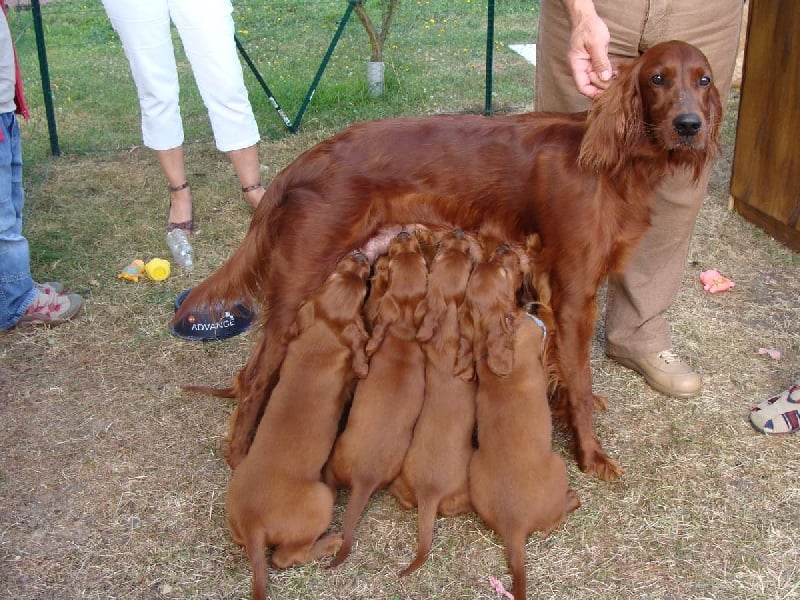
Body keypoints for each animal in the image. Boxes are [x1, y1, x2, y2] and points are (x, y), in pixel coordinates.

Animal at [177, 38, 724, 478]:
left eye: (704, 79)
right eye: (657, 78)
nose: (689, 125)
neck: (613, 164)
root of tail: (303, 162)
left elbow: (559, 366)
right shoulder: (575, 294)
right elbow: (580, 376)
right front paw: (591, 454)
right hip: (299, 279)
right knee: (253, 375)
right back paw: (241, 454)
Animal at [225, 252, 372, 600]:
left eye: (336, 275)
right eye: (362, 289)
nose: (360, 255)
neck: (320, 338)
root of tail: (253, 523)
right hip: (321, 499)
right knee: (286, 557)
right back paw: (329, 542)